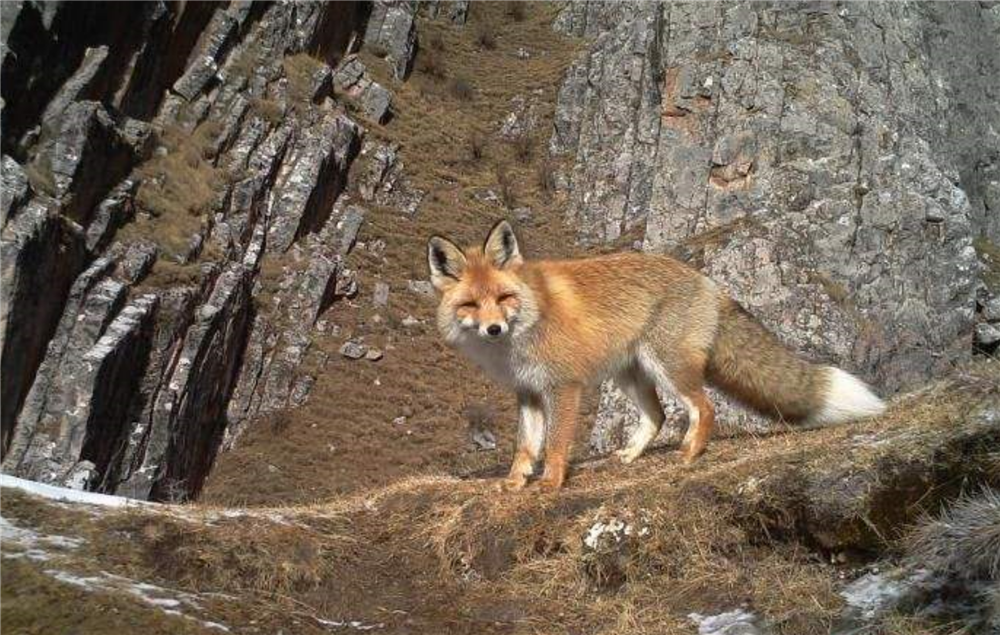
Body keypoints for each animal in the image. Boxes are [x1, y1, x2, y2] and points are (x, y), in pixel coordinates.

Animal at [426, 220, 888, 492]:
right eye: (470, 305)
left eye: (504, 298)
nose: (494, 329)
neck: (524, 329)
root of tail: (708, 282)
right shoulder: (528, 391)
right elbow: (525, 446)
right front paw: (514, 483)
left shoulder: (564, 386)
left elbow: (554, 445)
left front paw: (550, 484)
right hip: (631, 374)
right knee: (659, 416)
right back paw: (631, 456)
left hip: (668, 366)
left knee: (702, 408)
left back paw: (690, 454)